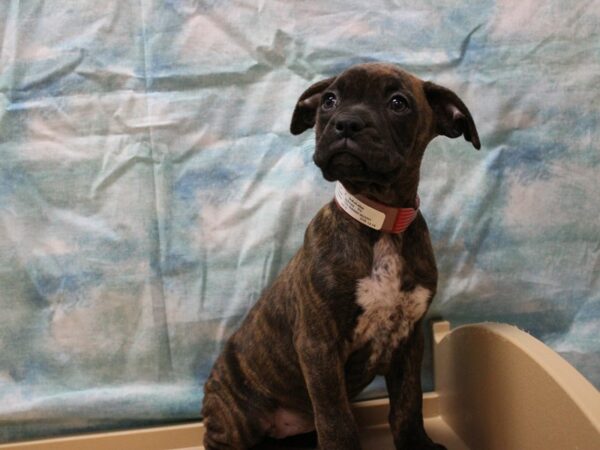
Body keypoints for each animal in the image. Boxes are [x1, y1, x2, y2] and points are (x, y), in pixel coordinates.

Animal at [204, 60, 480, 450]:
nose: (347, 123)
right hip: (236, 417)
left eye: (398, 103)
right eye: (329, 100)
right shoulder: (319, 346)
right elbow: (336, 421)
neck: (381, 221)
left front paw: (418, 444)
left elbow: (408, 405)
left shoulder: (408, 340)